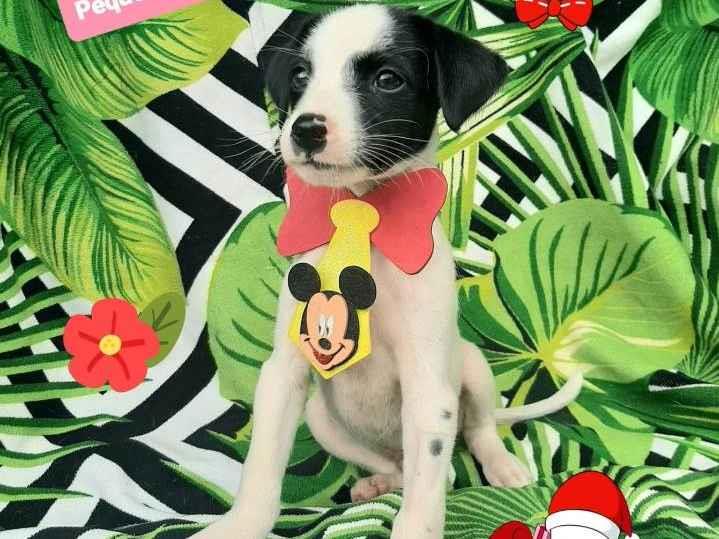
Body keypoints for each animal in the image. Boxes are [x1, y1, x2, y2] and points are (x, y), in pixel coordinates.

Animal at [197, 5, 582, 538]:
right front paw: (239, 525)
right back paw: (378, 483)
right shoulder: (283, 373)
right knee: (398, 467)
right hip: (323, 417)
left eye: (387, 80)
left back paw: (501, 465)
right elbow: (261, 468)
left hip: (471, 367)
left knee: (476, 431)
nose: (305, 129)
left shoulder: (428, 387)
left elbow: (425, 493)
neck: (362, 218)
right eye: (301, 75)